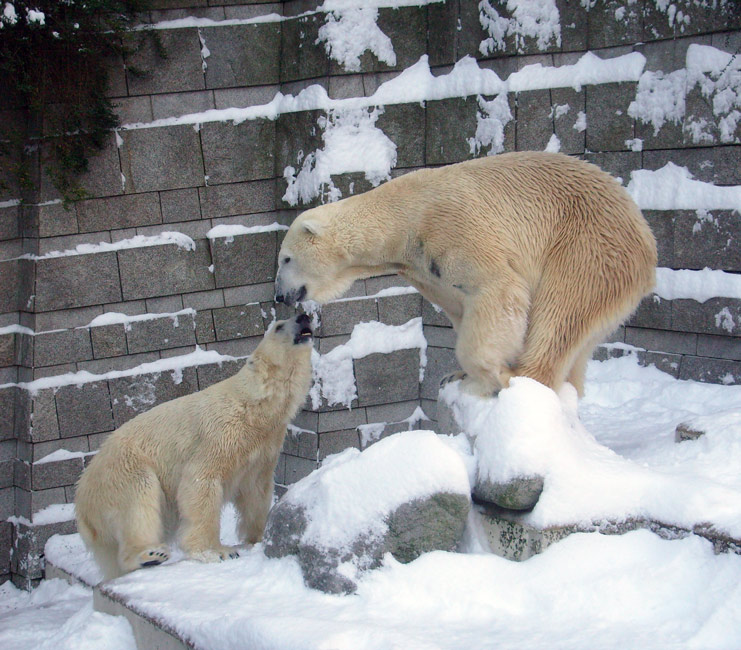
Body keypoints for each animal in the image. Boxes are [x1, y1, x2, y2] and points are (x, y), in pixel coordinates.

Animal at [76, 314, 314, 576]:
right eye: (279, 326)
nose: (304, 316)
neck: (254, 407)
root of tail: (81, 507)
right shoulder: (220, 434)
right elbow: (200, 483)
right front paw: (218, 551)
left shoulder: (264, 445)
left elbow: (256, 490)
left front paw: (258, 537)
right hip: (119, 472)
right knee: (139, 498)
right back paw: (148, 555)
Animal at [274, 152, 656, 394]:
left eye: (285, 259)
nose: (279, 295)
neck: (405, 220)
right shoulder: (426, 269)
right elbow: (460, 307)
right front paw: (456, 374)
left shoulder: (451, 227)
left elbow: (498, 288)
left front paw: (490, 374)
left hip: (588, 246)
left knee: (561, 310)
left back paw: (521, 376)